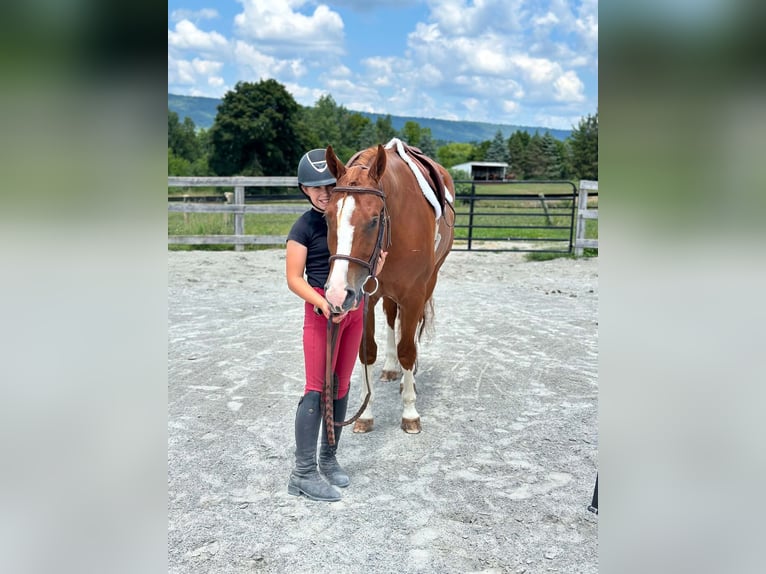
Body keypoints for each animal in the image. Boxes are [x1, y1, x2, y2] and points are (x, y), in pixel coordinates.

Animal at [323, 139, 455, 433]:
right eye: (326, 217)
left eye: (374, 219)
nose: (337, 293)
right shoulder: (365, 296)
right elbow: (367, 352)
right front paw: (365, 414)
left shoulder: (414, 294)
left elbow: (407, 349)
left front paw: (410, 413)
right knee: (393, 318)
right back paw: (392, 368)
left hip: (429, 282)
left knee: (411, 332)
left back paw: (409, 379)